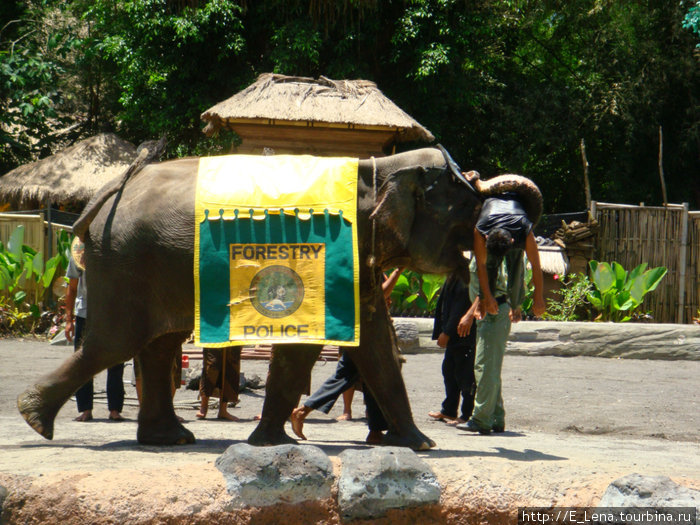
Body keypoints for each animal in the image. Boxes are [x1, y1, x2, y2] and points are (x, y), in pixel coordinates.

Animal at [16, 144, 540, 450]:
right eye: (466, 203)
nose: (500, 231)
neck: (377, 169)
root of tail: (108, 192)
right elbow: (314, 344)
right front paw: (268, 443)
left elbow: (377, 344)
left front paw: (419, 444)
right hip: (126, 261)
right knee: (115, 343)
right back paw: (35, 421)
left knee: (156, 343)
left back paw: (169, 439)